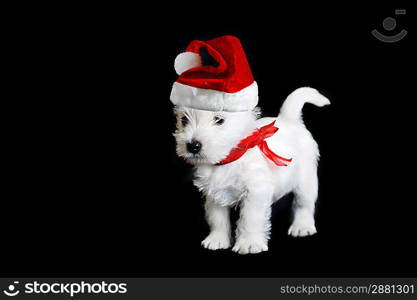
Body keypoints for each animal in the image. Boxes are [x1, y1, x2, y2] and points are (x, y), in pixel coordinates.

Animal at [172, 86, 328, 253]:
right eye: (184, 120)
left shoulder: (255, 191)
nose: (193, 146)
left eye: (219, 120)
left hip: (306, 180)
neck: (229, 160)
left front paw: (249, 243)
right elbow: (217, 218)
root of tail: (289, 120)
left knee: (304, 203)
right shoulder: (213, 193)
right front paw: (217, 239)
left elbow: (250, 219)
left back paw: (302, 226)